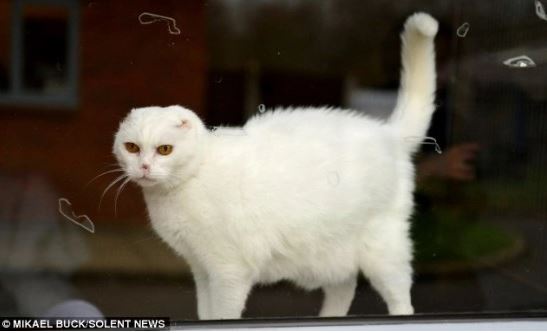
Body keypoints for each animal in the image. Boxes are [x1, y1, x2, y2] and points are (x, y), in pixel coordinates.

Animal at [113, 12, 438, 320]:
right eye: (132, 147)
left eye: (164, 150)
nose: (143, 166)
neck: (185, 185)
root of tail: (387, 132)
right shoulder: (201, 269)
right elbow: (205, 313)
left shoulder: (228, 271)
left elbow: (223, 314)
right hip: (331, 252)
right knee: (343, 289)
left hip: (383, 250)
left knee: (401, 300)